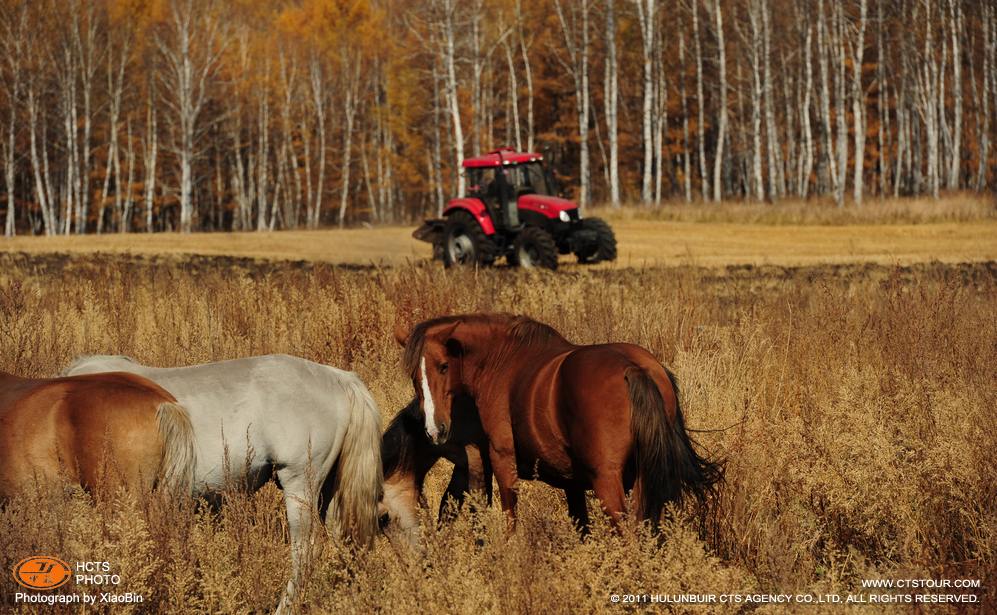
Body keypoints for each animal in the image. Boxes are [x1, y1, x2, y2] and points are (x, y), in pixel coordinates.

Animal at [386, 312, 720, 536]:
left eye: (444, 366)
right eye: (413, 375)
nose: (436, 430)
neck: (500, 360)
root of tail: (633, 368)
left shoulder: (501, 459)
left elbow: (509, 518)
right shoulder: (572, 483)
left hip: (608, 484)